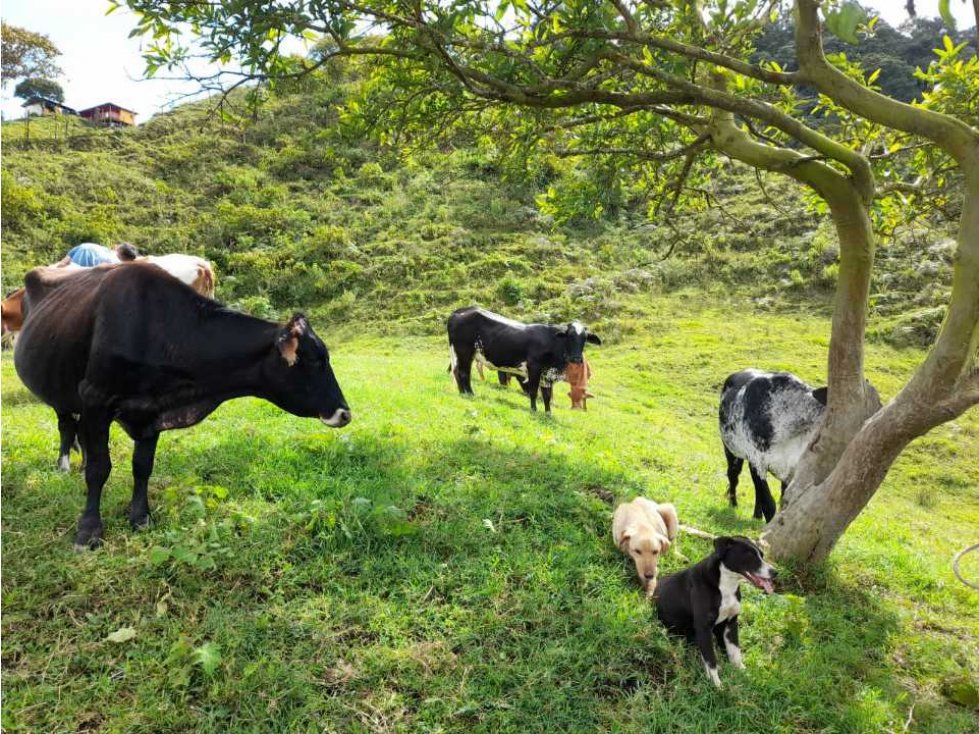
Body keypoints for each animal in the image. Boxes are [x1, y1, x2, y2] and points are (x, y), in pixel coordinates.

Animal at [13, 262, 350, 548]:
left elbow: (142, 467)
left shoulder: (150, 411)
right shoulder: (96, 399)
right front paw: (89, 530)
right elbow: (100, 469)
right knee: (66, 424)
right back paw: (64, 464)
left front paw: (140, 518)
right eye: (316, 361)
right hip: (62, 391)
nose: (345, 412)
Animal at [448, 306, 600, 414]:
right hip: (464, 351)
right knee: (464, 373)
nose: (576, 358)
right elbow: (533, 391)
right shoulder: (534, 367)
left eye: (585, 338)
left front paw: (548, 413)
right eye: (569, 336)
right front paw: (533, 410)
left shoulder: (547, 374)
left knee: (458, 372)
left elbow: (547, 395)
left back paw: (463, 392)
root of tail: (459, 311)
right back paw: (470, 394)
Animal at [656, 536, 776, 688]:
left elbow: (735, 651)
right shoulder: (703, 628)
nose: (775, 572)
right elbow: (711, 659)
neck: (726, 584)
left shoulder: (731, 623)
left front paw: (742, 672)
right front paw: (716, 685)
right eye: (749, 555)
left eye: (761, 555)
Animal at [720, 368, 828, 524]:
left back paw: (756, 515)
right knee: (733, 476)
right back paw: (733, 505)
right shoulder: (757, 460)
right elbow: (769, 502)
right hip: (731, 450)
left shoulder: (793, 468)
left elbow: (784, 500)